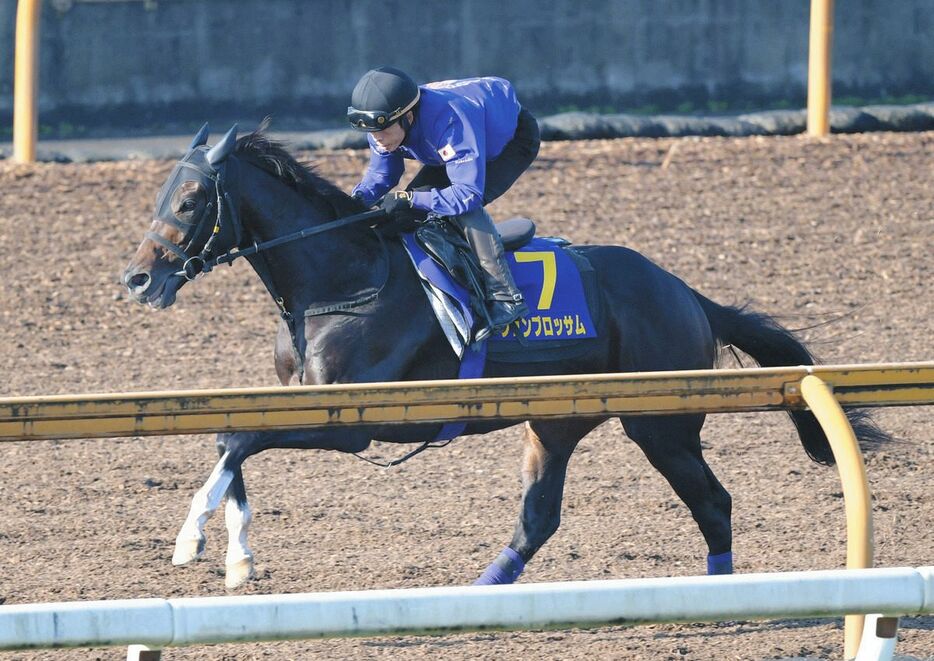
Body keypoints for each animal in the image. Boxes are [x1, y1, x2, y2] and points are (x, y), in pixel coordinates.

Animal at [120, 125, 888, 588]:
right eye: (159, 192)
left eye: (190, 199)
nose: (137, 278)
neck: (340, 277)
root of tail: (686, 292)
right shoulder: (293, 399)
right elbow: (231, 443)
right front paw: (237, 558)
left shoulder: (352, 422)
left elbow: (237, 440)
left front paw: (191, 540)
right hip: (556, 421)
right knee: (540, 516)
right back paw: (482, 591)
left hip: (660, 423)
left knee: (713, 501)